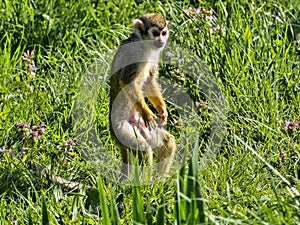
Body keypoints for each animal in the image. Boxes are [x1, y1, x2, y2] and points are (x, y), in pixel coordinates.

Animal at [109, 13, 176, 179]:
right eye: (155, 33)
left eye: (163, 33)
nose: (161, 40)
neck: (144, 44)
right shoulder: (135, 53)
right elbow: (126, 81)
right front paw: (147, 112)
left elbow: (149, 80)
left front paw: (162, 110)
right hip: (121, 131)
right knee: (143, 150)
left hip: (142, 127)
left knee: (167, 142)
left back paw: (159, 182)